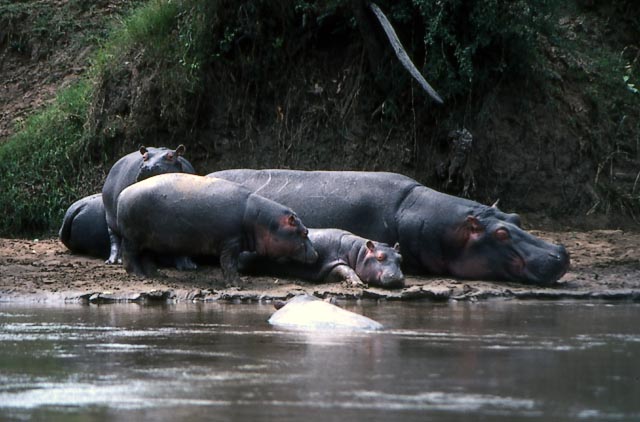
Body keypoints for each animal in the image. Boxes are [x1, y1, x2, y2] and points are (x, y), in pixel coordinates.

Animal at [116, 173, 318, 281]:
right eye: (304, 232)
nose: (316, 254)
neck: (262, 220)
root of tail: (122, 194)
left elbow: (227, 265)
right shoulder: (231, 242)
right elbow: (229, 263)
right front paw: (238, 284)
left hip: (150, 239)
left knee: (147, 257)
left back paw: (156, 276)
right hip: (132, 238)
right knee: (130, 256)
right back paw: (139, 276)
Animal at [240, 228, 404, 288]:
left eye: (400, 258)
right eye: (380, 257)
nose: (397, 277)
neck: (359, 252)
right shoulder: (333, 261)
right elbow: (346, 269)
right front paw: (358, 284)